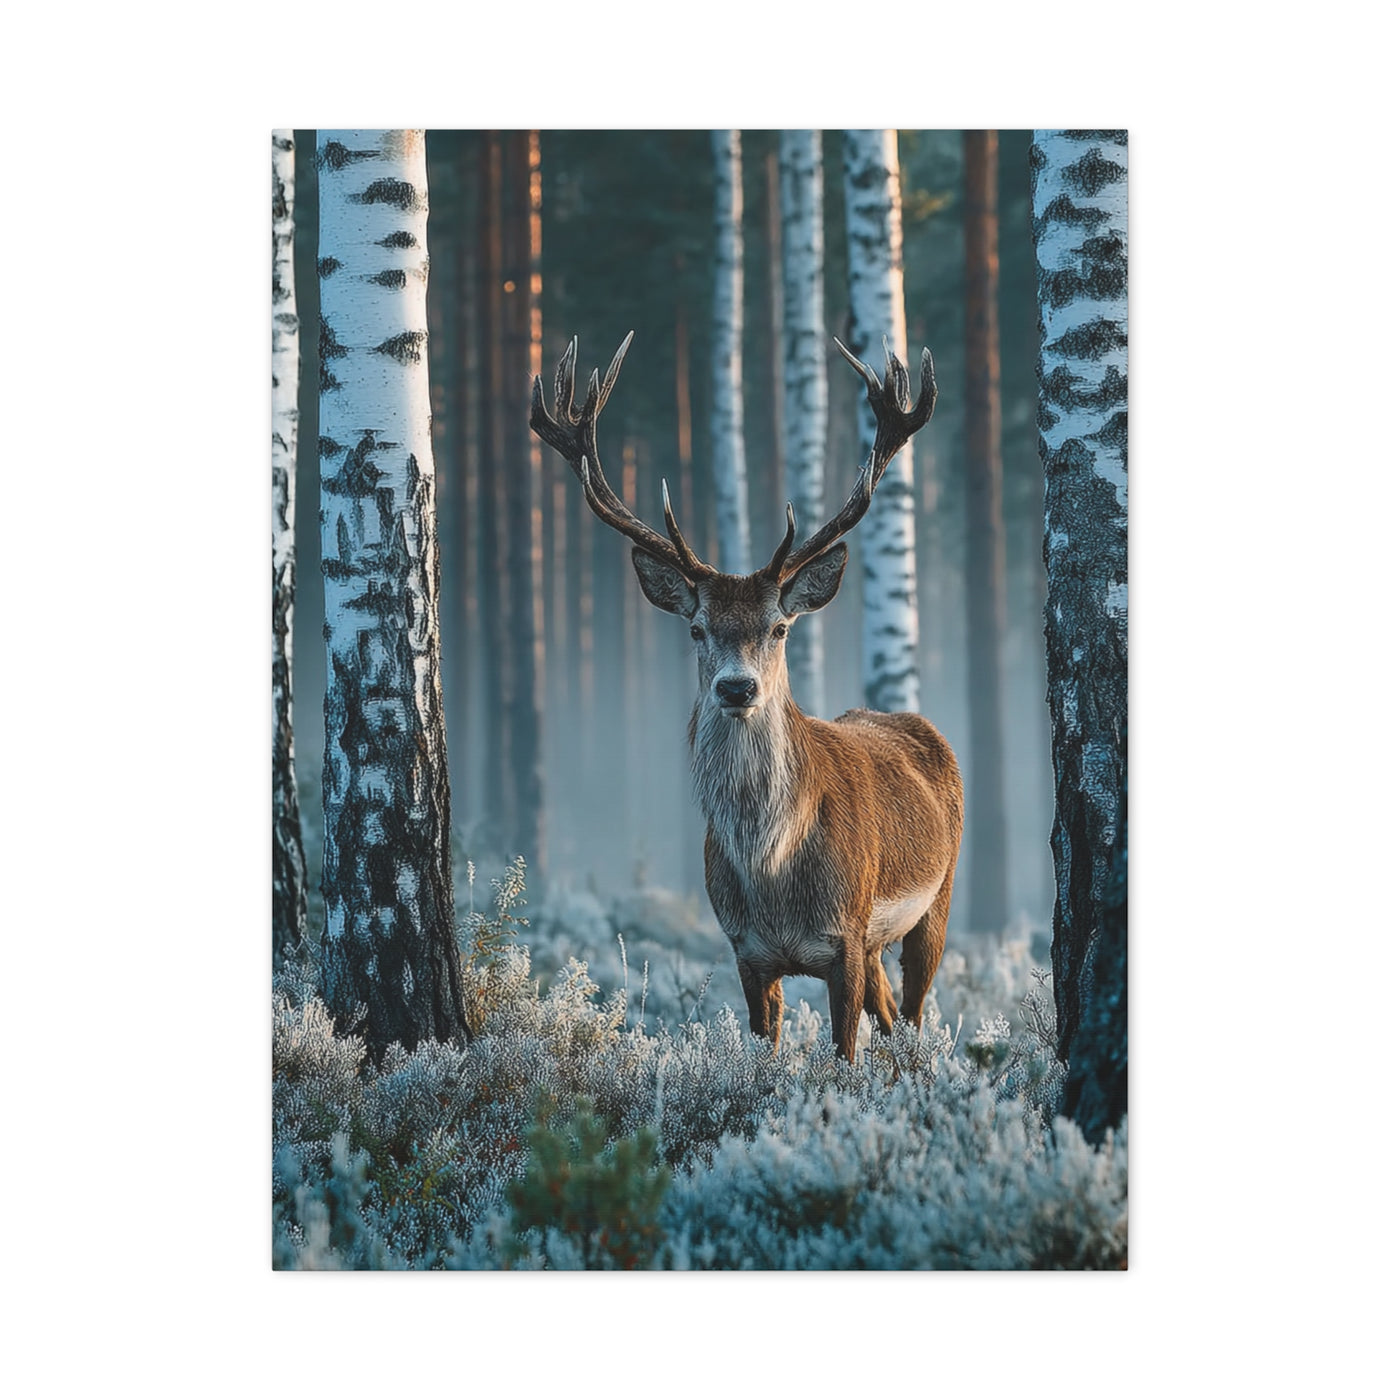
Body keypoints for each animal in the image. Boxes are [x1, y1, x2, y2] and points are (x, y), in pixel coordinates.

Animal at [530, 333, 962, 1064]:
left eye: (779, 627)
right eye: (697, 628)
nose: (737, 687)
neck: (773, 875)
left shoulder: (846, 935)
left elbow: (846, 1054)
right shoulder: (747, 950)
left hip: (937, 896)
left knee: (912, 1015)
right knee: (890, 1013)